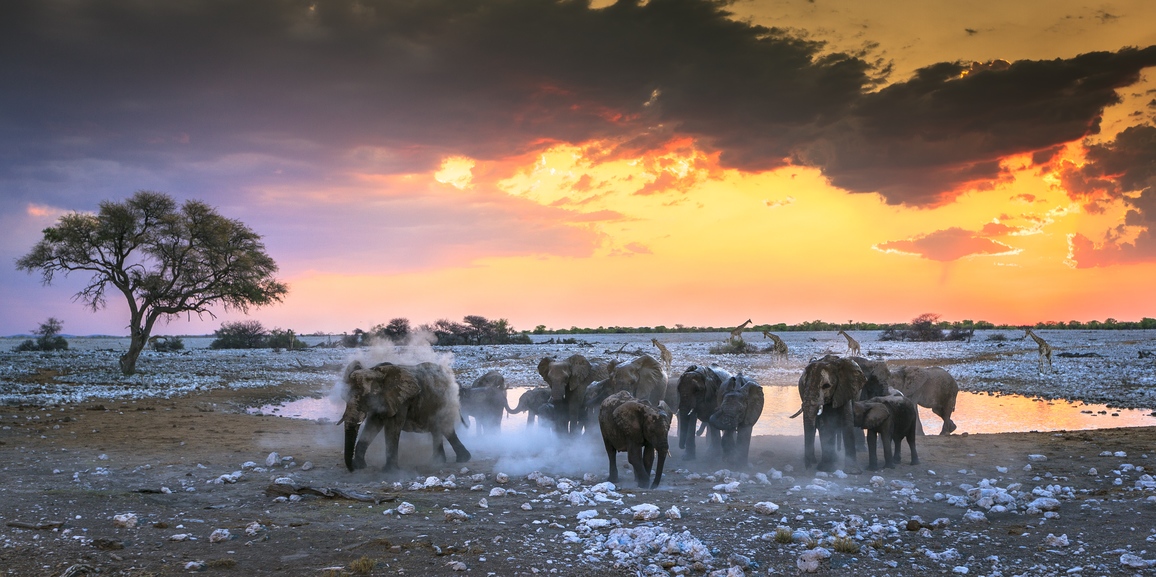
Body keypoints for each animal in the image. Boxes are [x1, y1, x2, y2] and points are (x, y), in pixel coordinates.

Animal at [337, 360, 469, 474]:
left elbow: (393, 426)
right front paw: (360, 466)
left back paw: (462, 459)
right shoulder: (382, 402)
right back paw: (438, 462)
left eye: (366, 398)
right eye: (343, 398)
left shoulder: (401, 400)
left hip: (445, 402)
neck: (376, 372)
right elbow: (373, 425)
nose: (352, 469)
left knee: (446, 429)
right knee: (437, 430)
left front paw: (389, 471)